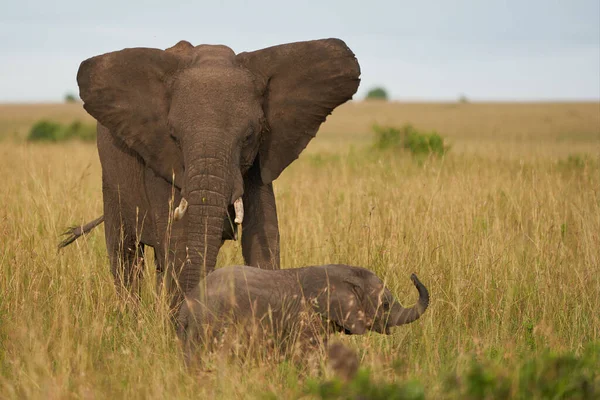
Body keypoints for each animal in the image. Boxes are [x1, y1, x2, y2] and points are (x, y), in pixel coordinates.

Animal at [64, 37, 360, 318]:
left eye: (249, 136)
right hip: (110, 177)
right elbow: (179, 240)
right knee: (125, 254)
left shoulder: (258, 162)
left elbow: (264, 234)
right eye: (174, 136)